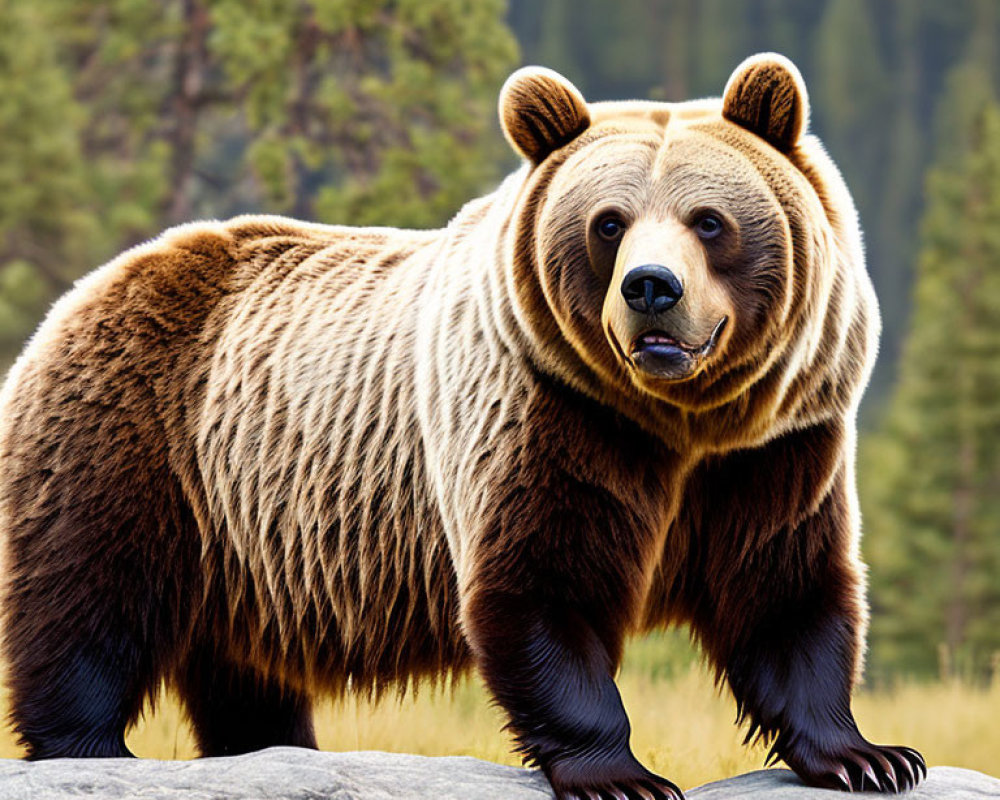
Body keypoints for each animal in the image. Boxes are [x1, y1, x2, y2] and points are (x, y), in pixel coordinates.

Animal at [0, 53, 920, 796]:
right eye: (609, 222)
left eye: (708, 220)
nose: (652, 287)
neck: (678, 419)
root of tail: (84, 291)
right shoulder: (547, 417)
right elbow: (542, 587)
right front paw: (620, 774)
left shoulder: (776, 447)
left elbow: (784, 587)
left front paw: (869, 757)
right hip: (137, 439)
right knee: (88, 598)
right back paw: (92, 746)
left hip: (245, 541)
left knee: (241, 665)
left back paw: (271, 745)